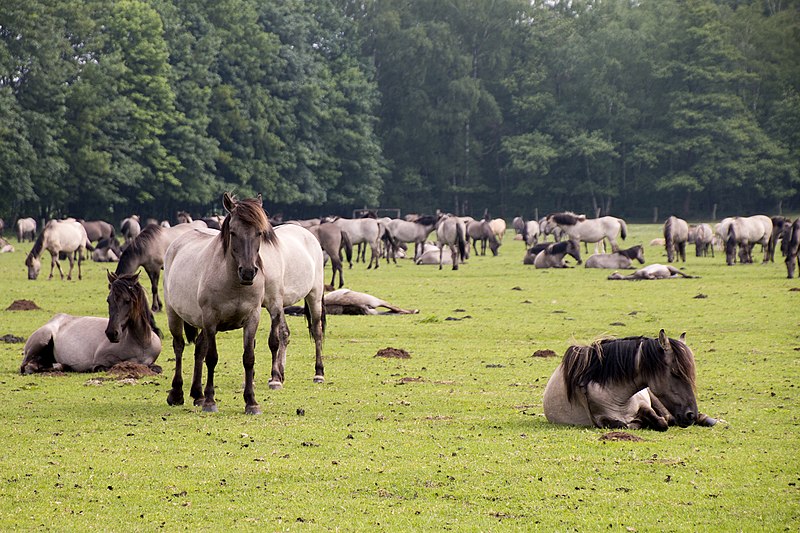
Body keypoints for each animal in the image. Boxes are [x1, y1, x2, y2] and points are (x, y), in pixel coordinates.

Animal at [19, 272, 161, 372]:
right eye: (108, 300)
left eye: (127, 300)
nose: (111, 333)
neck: (141, 343)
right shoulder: (101, 360)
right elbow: (106, 366)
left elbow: (157, 368)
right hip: (41, 340)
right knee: (25, 366)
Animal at [164, 193, 326, 414]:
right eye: (232, 232)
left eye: (260, 233)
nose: (248, 272)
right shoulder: (214, 318)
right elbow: (216, 356)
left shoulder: (268, 308)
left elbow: (265, 345)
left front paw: (265, 386)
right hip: (175, 312)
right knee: (180, 346)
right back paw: (179, 393)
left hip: (313, 295)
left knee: (316, 332)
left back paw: (317, 373)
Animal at [544, 330, 720, 430]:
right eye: (675, 372)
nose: (691, 414)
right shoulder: (600, 419)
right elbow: (622, 424)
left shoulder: (644, 405)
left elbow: (661, 422)